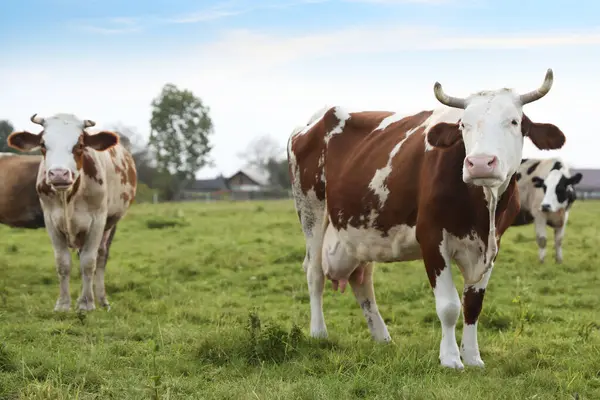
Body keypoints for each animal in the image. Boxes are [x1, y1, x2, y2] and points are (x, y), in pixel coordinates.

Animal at [7, 113, 137, 312]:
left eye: (80, 145)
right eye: (43, 144)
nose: (59, 174)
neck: (68, 197)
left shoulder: (97, 222)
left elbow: (88, 263)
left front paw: (86, 303)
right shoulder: (51, 222)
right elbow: (63, 263)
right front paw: (63, 304)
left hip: (111, 224)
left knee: (100, 258)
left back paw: (101, 300)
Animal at [288, 69, 568, 368]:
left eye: (514, 121)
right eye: (463, 125)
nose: (480, 163)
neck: (483, 210)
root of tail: (313, 121)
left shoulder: (493, 245)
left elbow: (473, 305)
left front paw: (473, 357)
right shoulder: (432, 239)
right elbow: (449, 306)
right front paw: (451, 358)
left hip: (359, 231)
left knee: (362, 280)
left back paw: (382, 337)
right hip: (311, 213)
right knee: (314, 272)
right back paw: (319, 333)